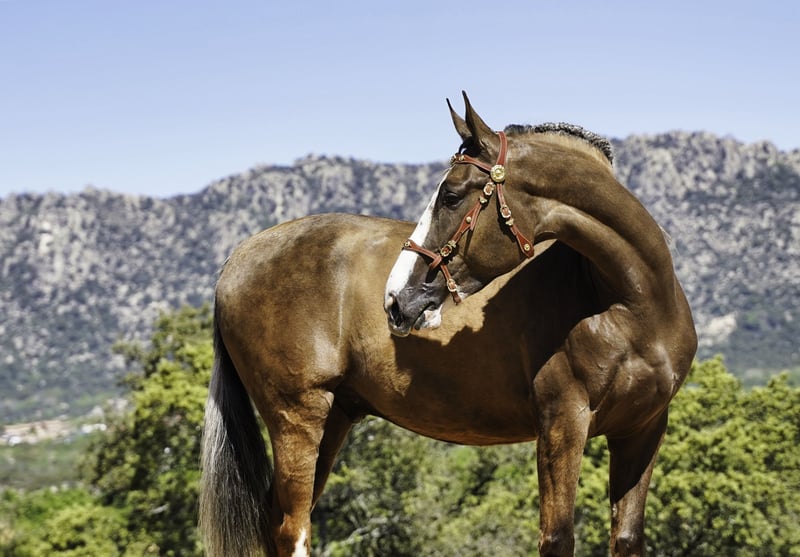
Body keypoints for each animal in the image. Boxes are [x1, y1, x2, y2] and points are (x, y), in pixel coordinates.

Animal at [199, 96, 696, 557]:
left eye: (452, 195)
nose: (396, 298)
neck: (627, 302)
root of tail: (238, 258)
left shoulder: (643, 429)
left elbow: (626, 538)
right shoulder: (563, 423)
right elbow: (557, 538)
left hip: (334, 416)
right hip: (298, 416)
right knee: (292, 528)